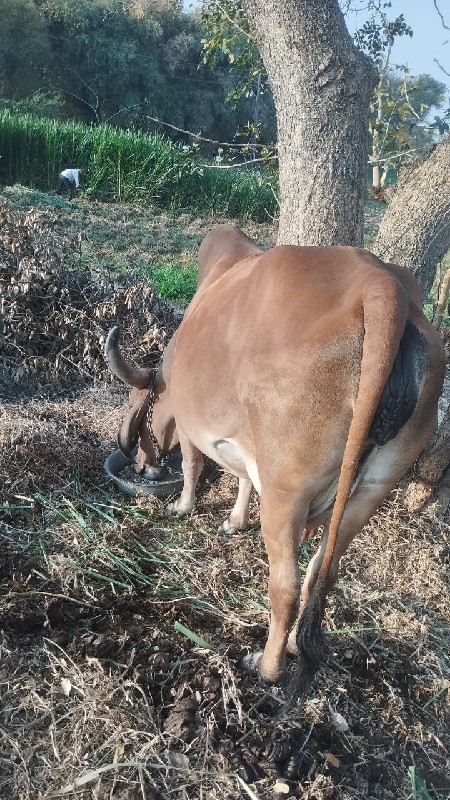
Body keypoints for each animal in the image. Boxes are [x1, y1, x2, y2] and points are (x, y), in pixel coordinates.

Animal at [105, 223, 446, 700]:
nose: (141, 466)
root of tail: (381, 286)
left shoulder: (193, 427)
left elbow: (193, 466)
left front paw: (183, 506)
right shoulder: (251, 451)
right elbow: (244, 478)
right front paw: (234, 521)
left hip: (287, 492)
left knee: (285, 586)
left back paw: (267, 666)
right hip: (369, 492)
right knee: (323, 572)